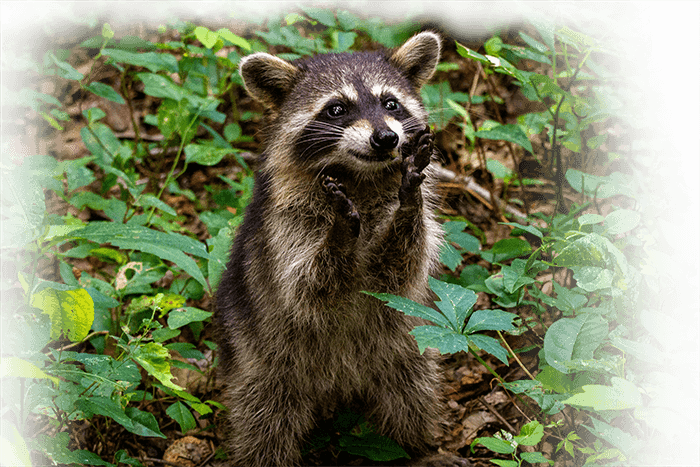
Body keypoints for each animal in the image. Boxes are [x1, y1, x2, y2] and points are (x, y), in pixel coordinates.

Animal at [215, 31, 469, 467]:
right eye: (336, 109)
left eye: (390, 103)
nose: (386, 138)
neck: (360, 177)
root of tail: (338, 387)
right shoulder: (284, 225)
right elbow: (306, 287)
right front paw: (340, 233)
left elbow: (400, 270)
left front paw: (408, 204)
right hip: (263, 359)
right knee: (265, 420)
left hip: (404, 350)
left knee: (412, 394)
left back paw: (414, 448)